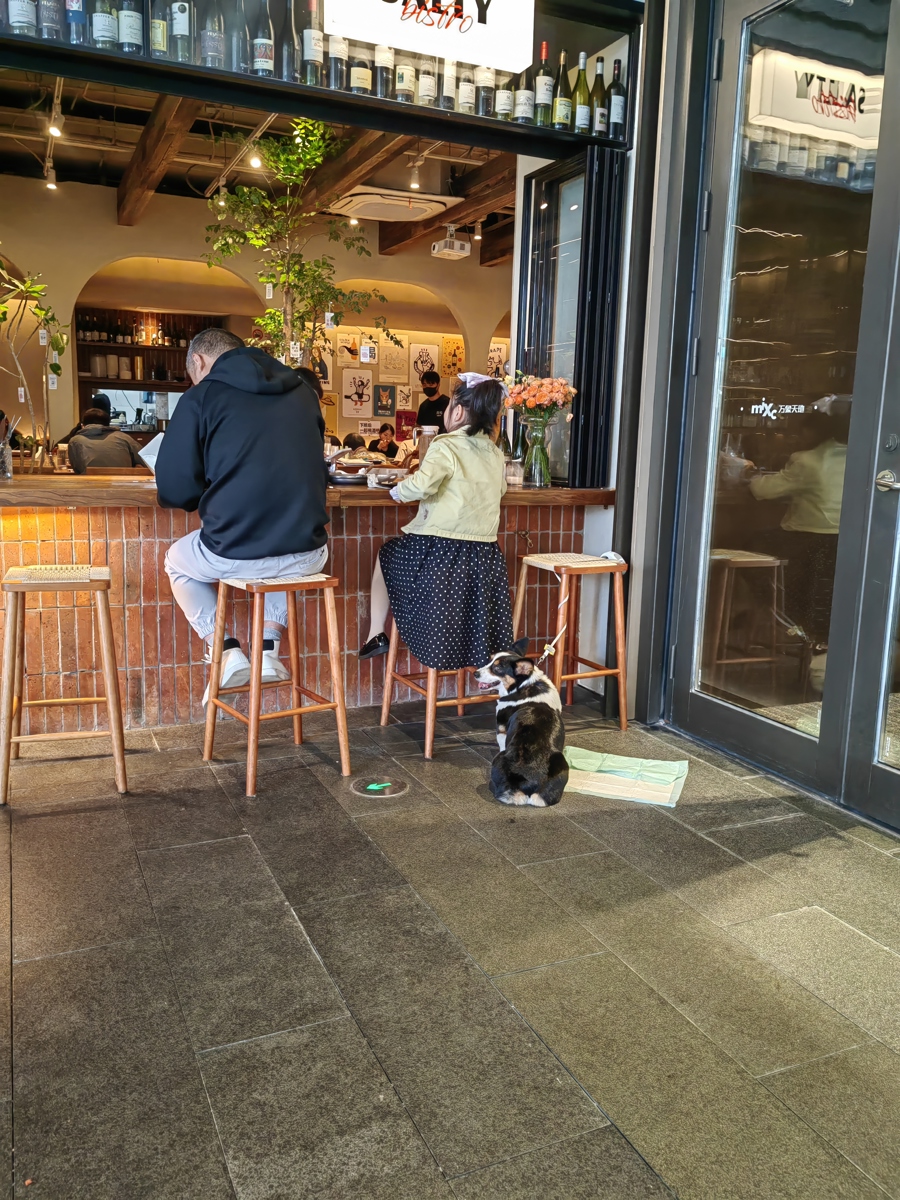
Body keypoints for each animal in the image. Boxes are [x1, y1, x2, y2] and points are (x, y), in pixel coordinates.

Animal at [473, 639, 568, 808]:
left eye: (497, 668)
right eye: (489, 660)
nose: (475, 673)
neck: (523, 685)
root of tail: (529, 783)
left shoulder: (501, 731)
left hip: (499, 759)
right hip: (562, 764)